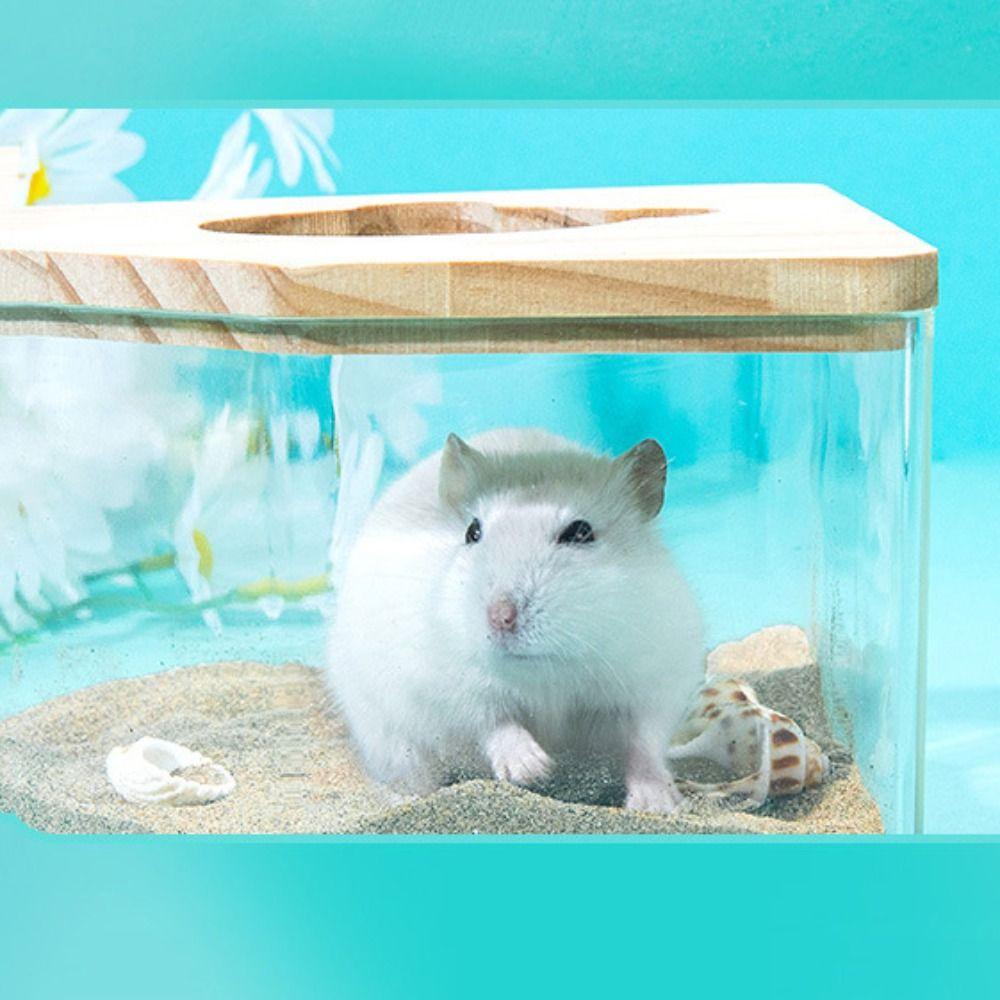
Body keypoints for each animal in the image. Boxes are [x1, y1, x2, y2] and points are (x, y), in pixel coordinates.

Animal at [325, 427, 705, 813]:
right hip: (387, 736)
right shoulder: (447, 685)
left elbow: (644, 743)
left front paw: (659, 805)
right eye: (472, 532)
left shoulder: (654, 683)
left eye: (580, 532)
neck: (544, 669)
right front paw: (533, 769)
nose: (500, 618)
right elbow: (493, 721)